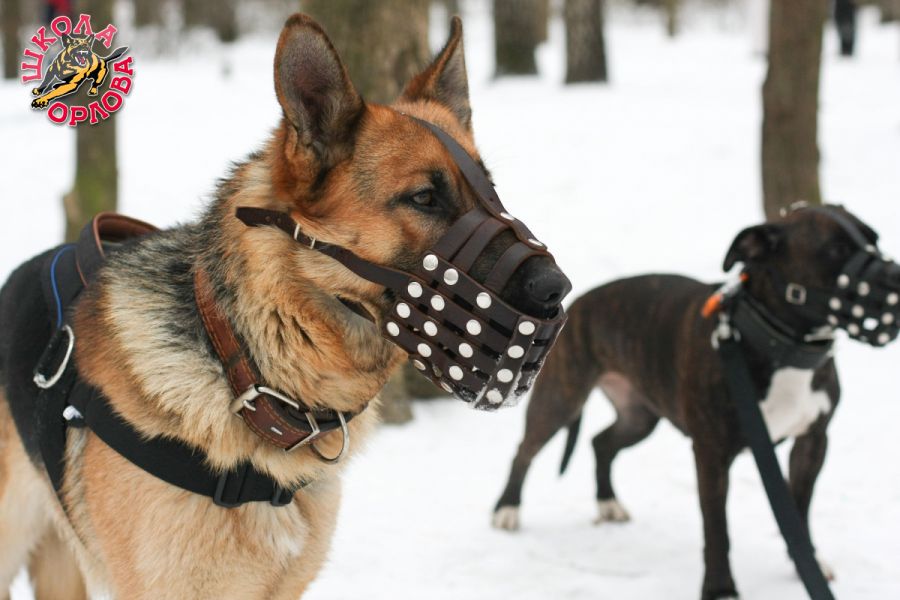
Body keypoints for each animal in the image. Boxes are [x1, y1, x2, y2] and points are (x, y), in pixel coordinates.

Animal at [492, 206, 899, 599]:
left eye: (874, 239)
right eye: (836, 251)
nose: (895, 276)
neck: (781, 346)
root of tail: (580, 301)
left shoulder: (813, 442)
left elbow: (798, 512)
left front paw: (805, 565)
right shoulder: (712, 453)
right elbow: (717, 528)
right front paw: (720, 589)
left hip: (640, 416)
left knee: (601, 442)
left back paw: (608, 502)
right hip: (561, 399)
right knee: (524, 451)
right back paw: (507, 509)